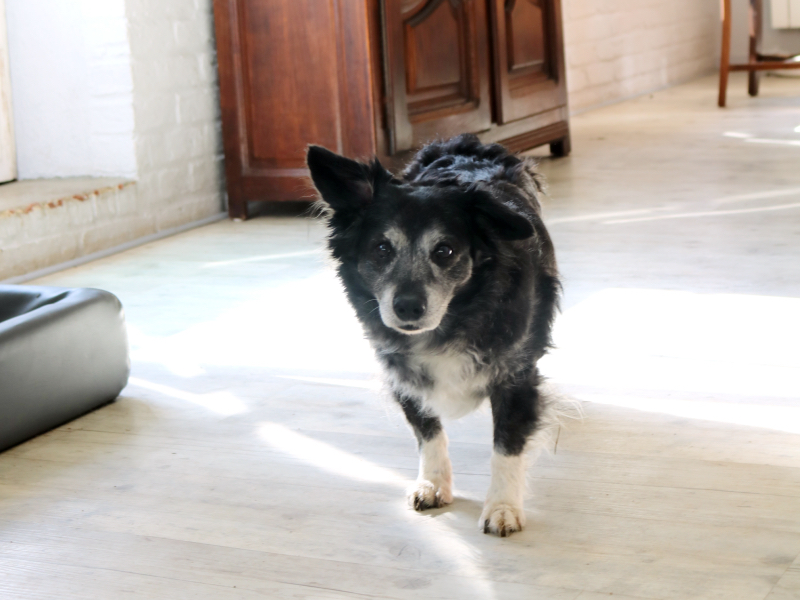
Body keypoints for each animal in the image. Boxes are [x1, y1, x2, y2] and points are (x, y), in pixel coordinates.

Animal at [306, 134, 560, 536]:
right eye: (382, 249)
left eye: (445, 251)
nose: (408, 307)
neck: (454, 319)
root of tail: (463, 142)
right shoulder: (403, 375)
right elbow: (428, 432)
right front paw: (434, 483)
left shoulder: (516, 375)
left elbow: (506, 446)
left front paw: (503, 506)